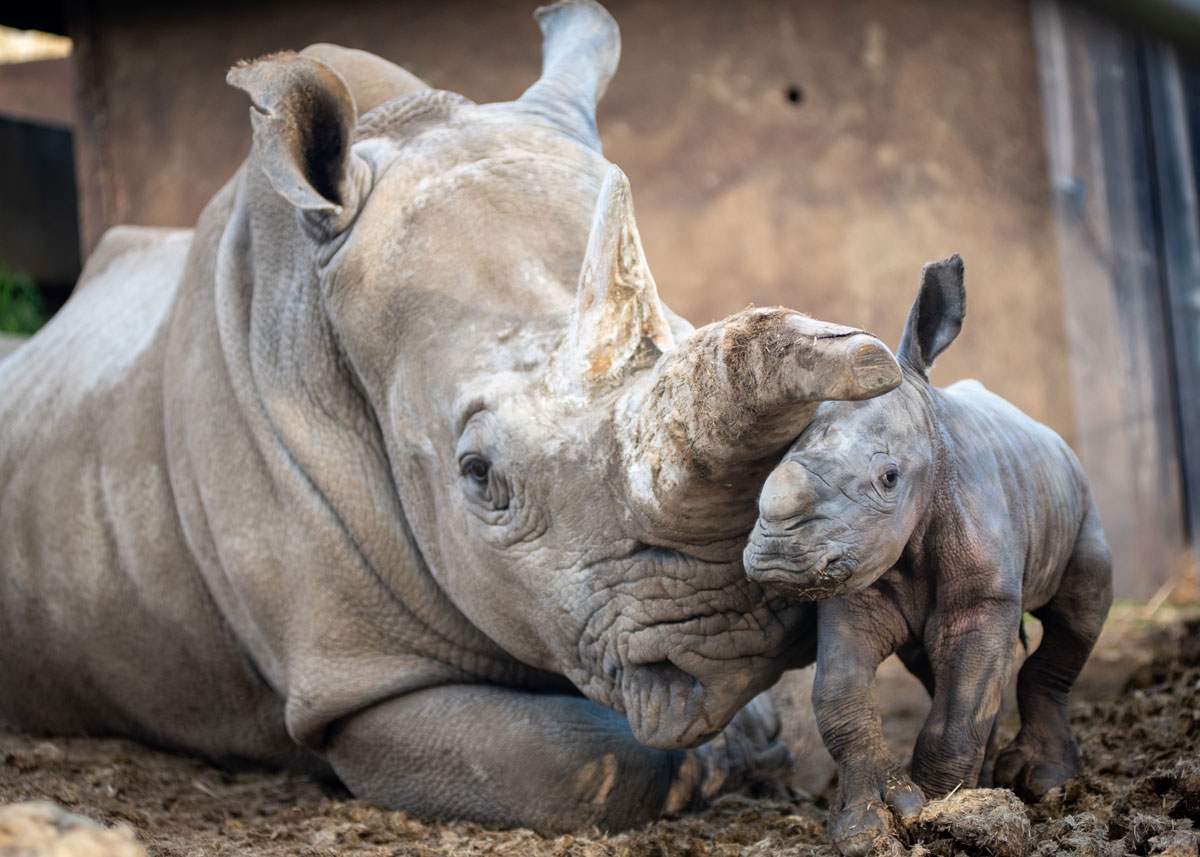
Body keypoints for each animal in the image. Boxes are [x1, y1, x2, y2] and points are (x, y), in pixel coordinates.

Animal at [0, 0, 902, 832]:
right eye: (478, 474)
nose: (736, 645)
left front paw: (751, 733)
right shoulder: (357, 678)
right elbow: (575, 756)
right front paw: (720, 754)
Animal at [743, 256, 1113, 855]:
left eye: (890, 478)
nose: (777, 559)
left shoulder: (985, 597)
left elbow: (961, 704)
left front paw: (942, 816)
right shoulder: (851, 584)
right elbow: (840, 696)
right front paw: (867, 824)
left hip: (1081, 500)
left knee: (1076, 618)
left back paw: (1041, 781)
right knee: (932, 665)